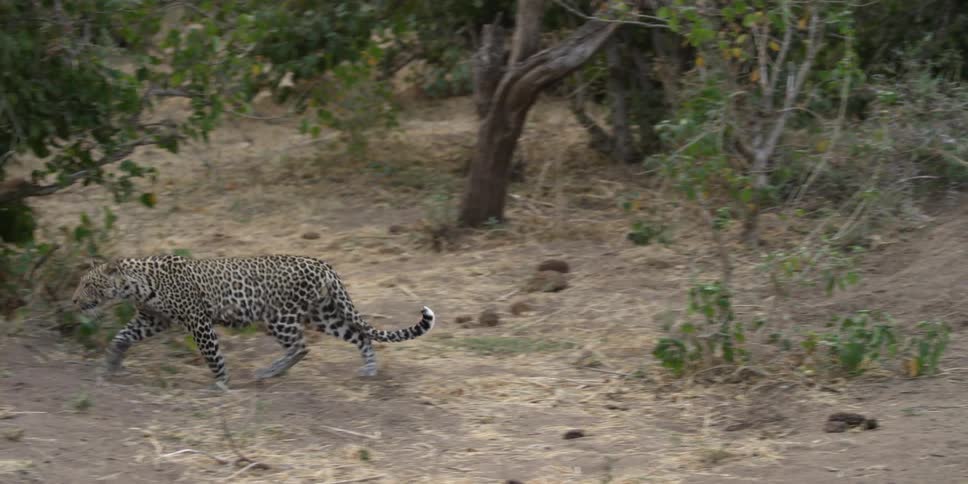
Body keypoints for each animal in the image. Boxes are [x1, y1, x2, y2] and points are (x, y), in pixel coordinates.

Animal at [71, 254, 436, 390]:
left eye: (88, 285)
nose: (73, 301)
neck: (138, 284)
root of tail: (323, 264)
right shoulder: (152, 320)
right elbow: (122, 337)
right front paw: (110, 366)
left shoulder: (198, 321)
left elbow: (212, 355)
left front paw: (221, 383)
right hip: (324, 315)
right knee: (360, 336)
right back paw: (369, 370)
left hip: (279, 317)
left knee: (301, 346)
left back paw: (268, 372)